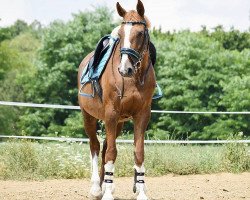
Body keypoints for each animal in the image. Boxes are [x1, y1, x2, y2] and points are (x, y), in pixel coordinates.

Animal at [78, 0, 155, 199]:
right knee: (95, 146)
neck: (132, 79)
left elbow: (138, 152)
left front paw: (140, 191)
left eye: (140, 33)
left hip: (118, 122)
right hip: (89, 116)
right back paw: (97, 188)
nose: (124, 68)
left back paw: (106, 184)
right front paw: (106, 193)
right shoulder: (111, 113)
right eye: (120, 34)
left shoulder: (142, 115)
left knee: (104, 147)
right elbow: (111, 152)